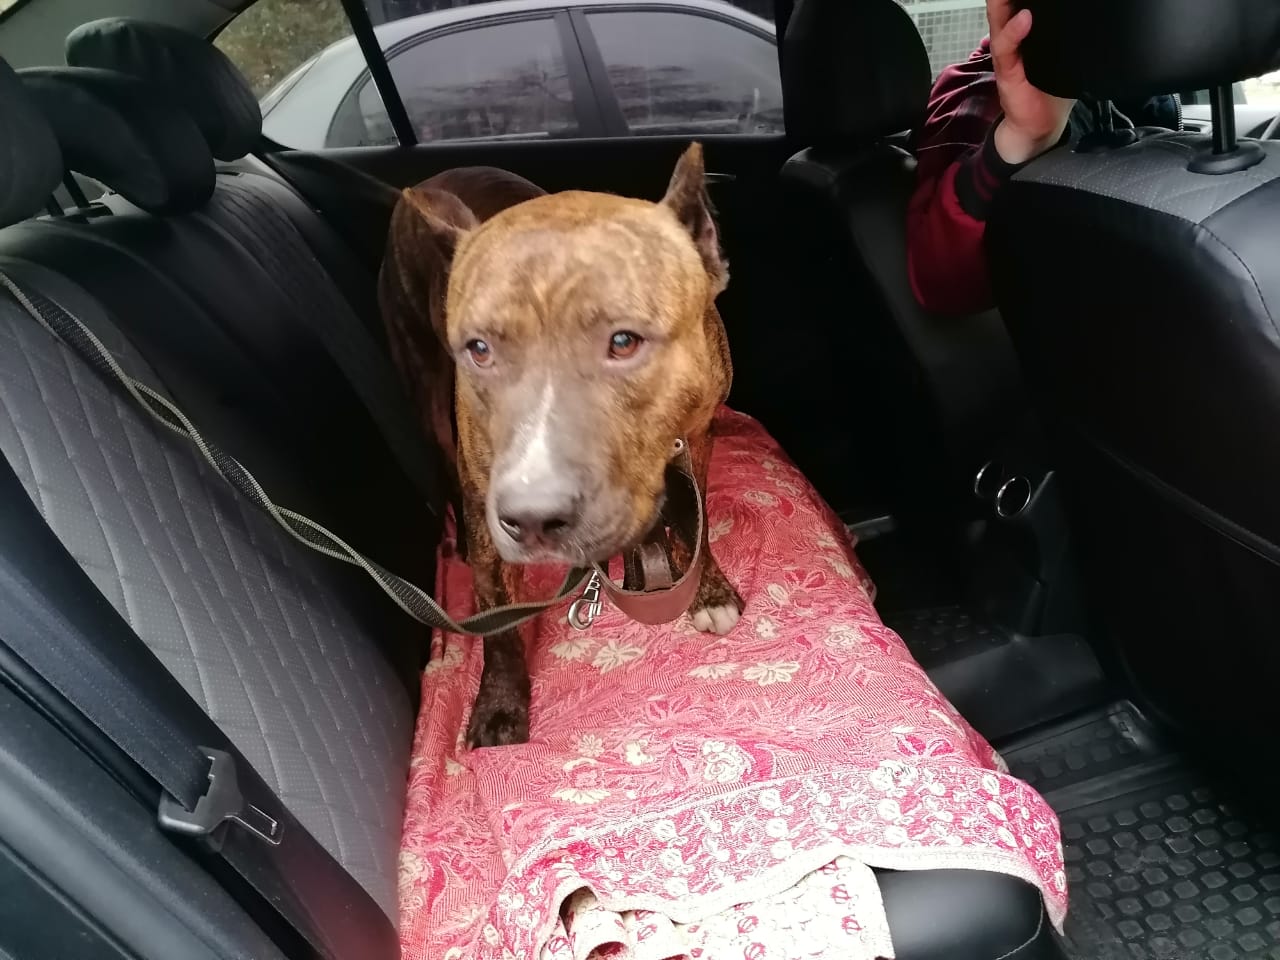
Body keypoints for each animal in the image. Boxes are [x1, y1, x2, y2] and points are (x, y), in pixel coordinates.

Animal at [379, 144, 743, 747]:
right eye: (480, 349)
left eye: (624, 341)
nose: (532, 516)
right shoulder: (489, 505)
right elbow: (499, 622)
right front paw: (499, 706)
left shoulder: (697, 435)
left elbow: (698, 521)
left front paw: (706, 588)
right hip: (425, 393)